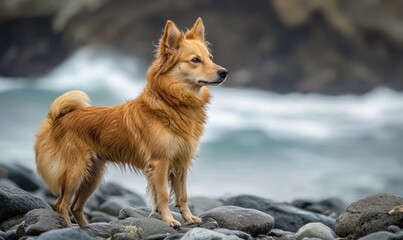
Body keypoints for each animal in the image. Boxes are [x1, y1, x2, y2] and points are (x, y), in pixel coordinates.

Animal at [34, 17, 229, 228]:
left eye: (210, 57)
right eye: (195, 60)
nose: (224, 72)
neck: (173, 102)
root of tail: (57, 118)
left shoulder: (181, 163)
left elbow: (182, 195)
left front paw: (189, 218)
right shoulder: (160, 162)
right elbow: (162, 195)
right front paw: (169, 220)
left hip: (92, 176)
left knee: (75, 206)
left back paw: (85, 228)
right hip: (75, 173)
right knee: (61, 204)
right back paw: (70, 229)